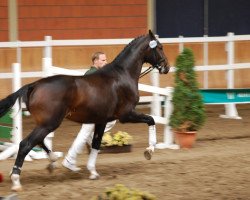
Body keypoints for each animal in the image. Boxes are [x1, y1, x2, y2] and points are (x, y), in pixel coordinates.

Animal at [0, 29, 170, 191]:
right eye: (160, 47)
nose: (166, 67)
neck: (122, 75)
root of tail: (34, 85)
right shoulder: (126, 115)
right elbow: (151, 120)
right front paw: (149, 150)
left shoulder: (101, 120)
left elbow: (96, 144)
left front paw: (93, 172)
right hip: (49, 123)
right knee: (25, 144)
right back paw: (16, 180)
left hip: (45, 123)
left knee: (38, 141)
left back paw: (53, 161)